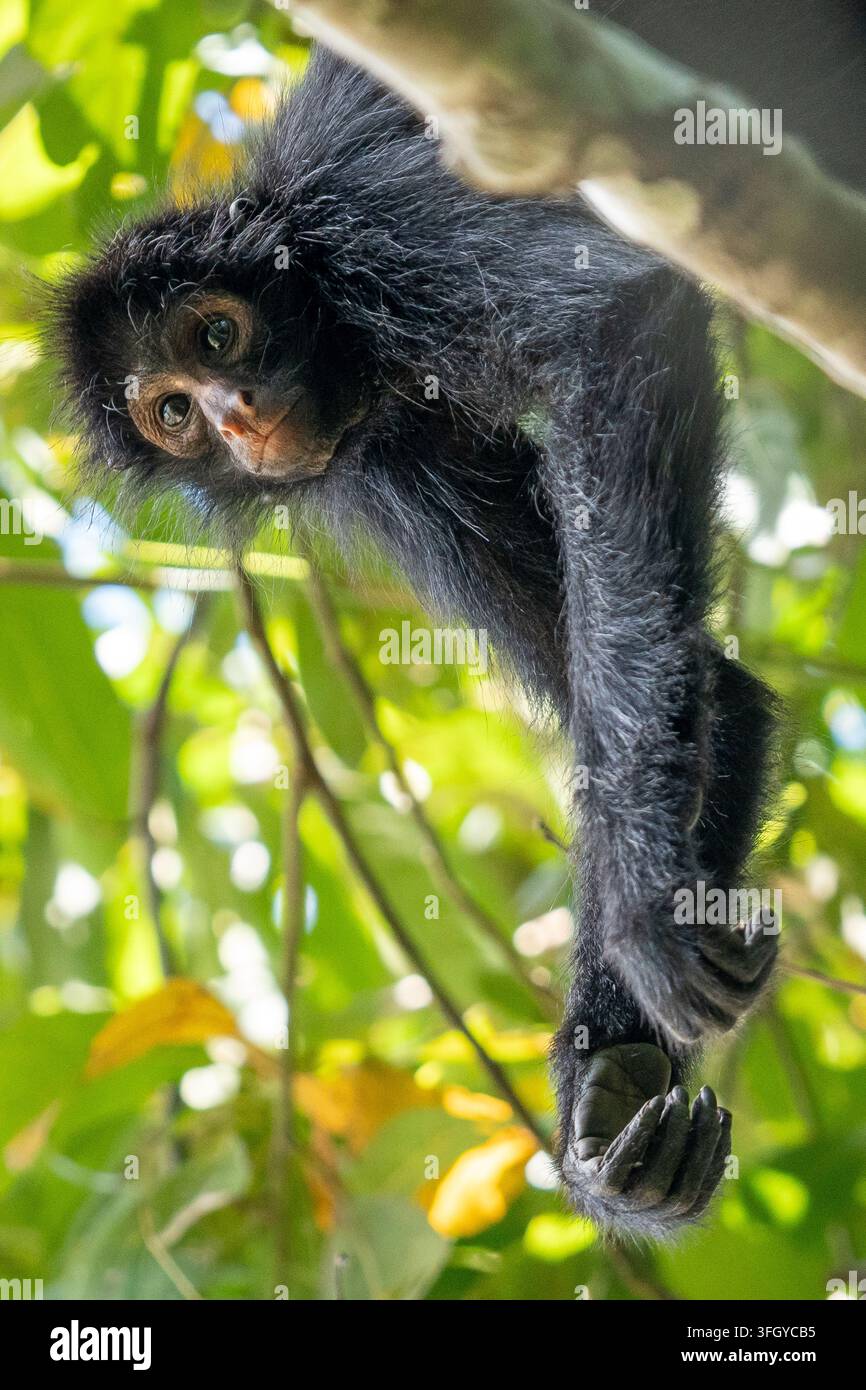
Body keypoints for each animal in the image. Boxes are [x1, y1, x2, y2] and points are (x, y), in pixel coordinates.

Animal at [50, 26, 801, 1239]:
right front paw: (611, 1100)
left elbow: (621, 324)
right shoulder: (380, 449)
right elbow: (723, 696)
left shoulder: (377, 226)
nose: (237, 417)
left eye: (217, 332)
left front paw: (646, 900)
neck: (315, 280)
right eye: (171, 412)